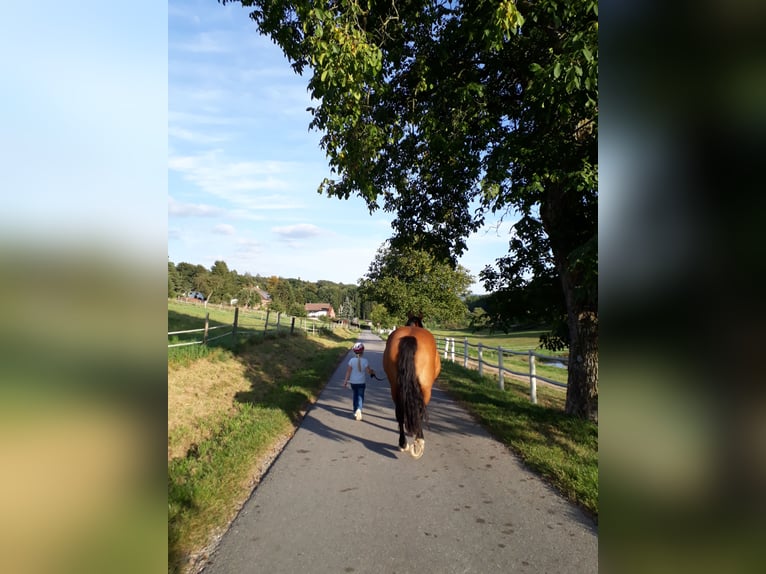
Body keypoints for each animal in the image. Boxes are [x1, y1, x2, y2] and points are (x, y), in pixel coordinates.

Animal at [384, 318, 444, 462]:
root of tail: (410, 337)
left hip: (395, 387)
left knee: (400, 414)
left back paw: (402, 443)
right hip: (426, 390)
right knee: (419, 413)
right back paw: (418, 442)